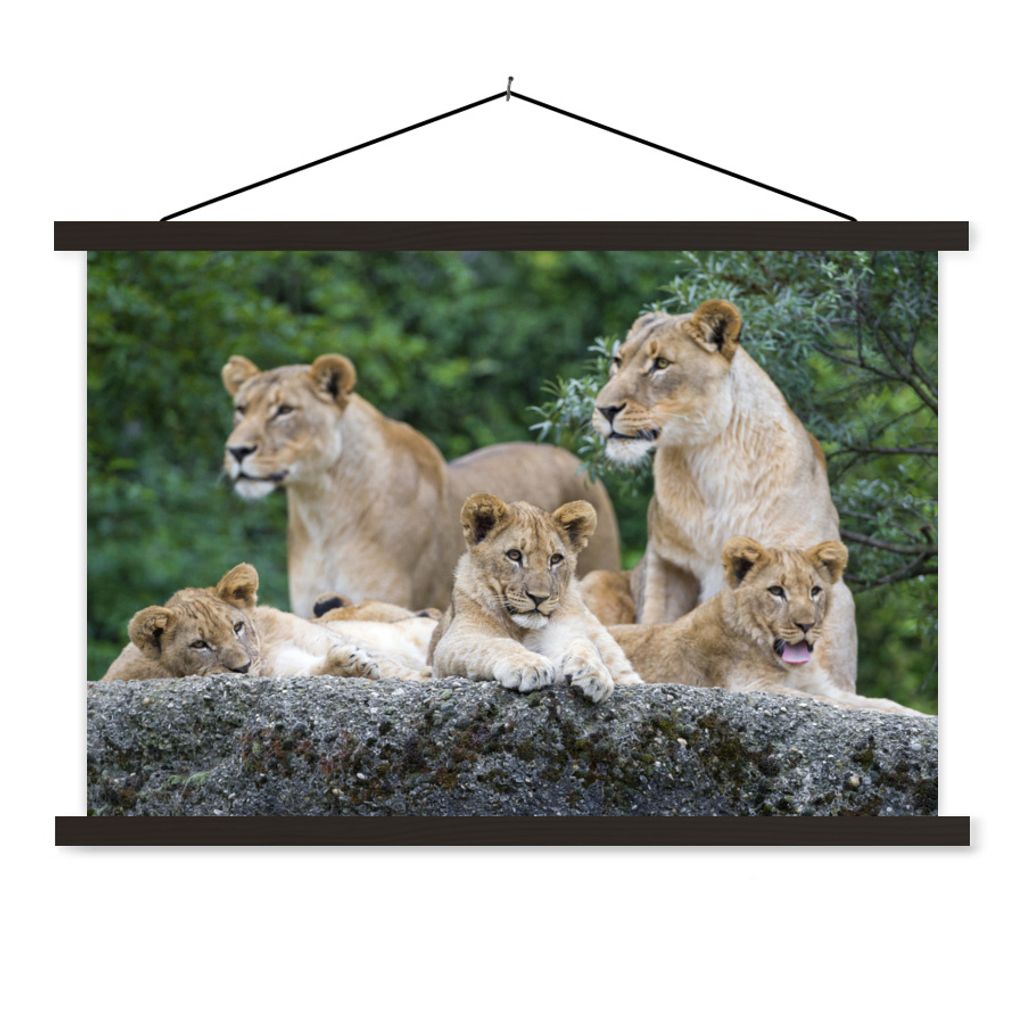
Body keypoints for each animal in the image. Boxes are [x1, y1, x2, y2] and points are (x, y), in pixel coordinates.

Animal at [100, 564, 430, 682]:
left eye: (237, 627)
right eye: (199, 644)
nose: (243, 668)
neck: (268, 645)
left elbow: (398, 670)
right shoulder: (284, 669)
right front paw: (350, 665)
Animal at [429, 494, 643, 703]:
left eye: (555, 559)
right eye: (514, 555)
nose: (539, 598)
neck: (521, 628)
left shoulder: (563, 631)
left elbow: (583, 644)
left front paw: (593, 673)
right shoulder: (454, 641)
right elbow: (496, 644)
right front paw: (529, 666)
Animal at [590, 300, 858, 692]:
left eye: (661, 364)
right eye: (617, 361)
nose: (604, 409)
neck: (710, 459)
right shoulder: (669, 564)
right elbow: (658, 621)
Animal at [610, 537, 922, 715]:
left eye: (815, 591)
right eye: (776, 591)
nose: (806, 624)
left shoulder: (819, 684)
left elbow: (877, 702)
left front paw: (916, 715)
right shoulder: (751, 686)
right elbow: (825, 702)